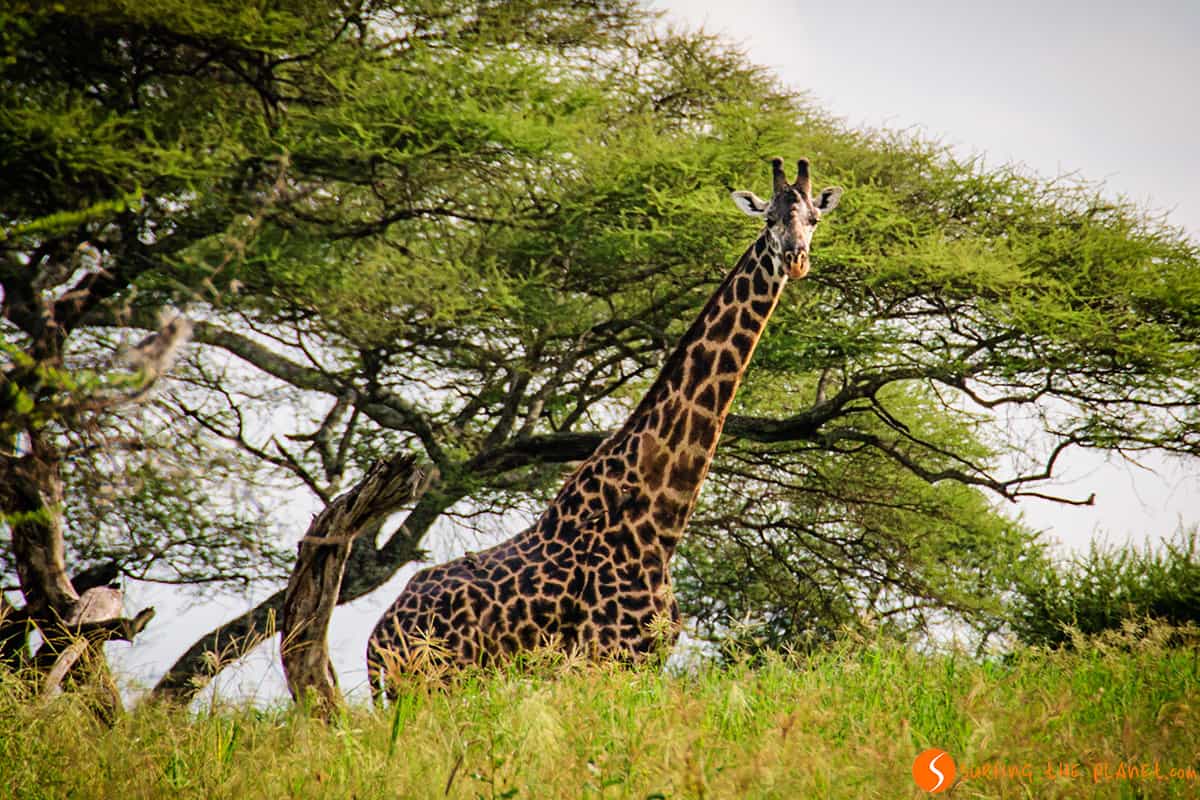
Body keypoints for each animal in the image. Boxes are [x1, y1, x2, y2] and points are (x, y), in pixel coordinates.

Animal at [367, 157, 842, 693]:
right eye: (769, 220)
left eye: (814, 219)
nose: (796, 259)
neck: (657, 521)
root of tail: (377, 638)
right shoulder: (600, 657)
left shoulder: (645, 660)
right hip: (428, 682)